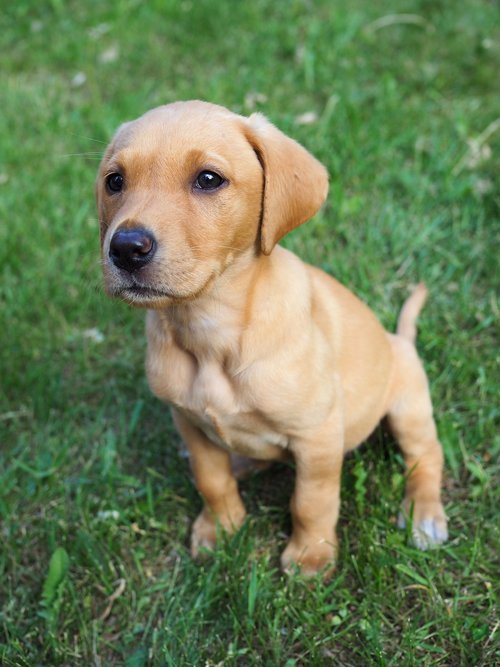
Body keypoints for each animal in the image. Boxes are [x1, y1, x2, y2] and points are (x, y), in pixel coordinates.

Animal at [95, 99, 448, 576]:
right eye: (115, 181)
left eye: (209, 179)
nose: (126, 248)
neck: (210, 329)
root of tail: (401, 340)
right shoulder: (188, 422)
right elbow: (212, 480)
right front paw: (220, 528)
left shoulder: (318, 436)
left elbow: (312, 502)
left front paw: (311, 555)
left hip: (408, 406)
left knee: (426, 455)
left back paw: (424, 513)